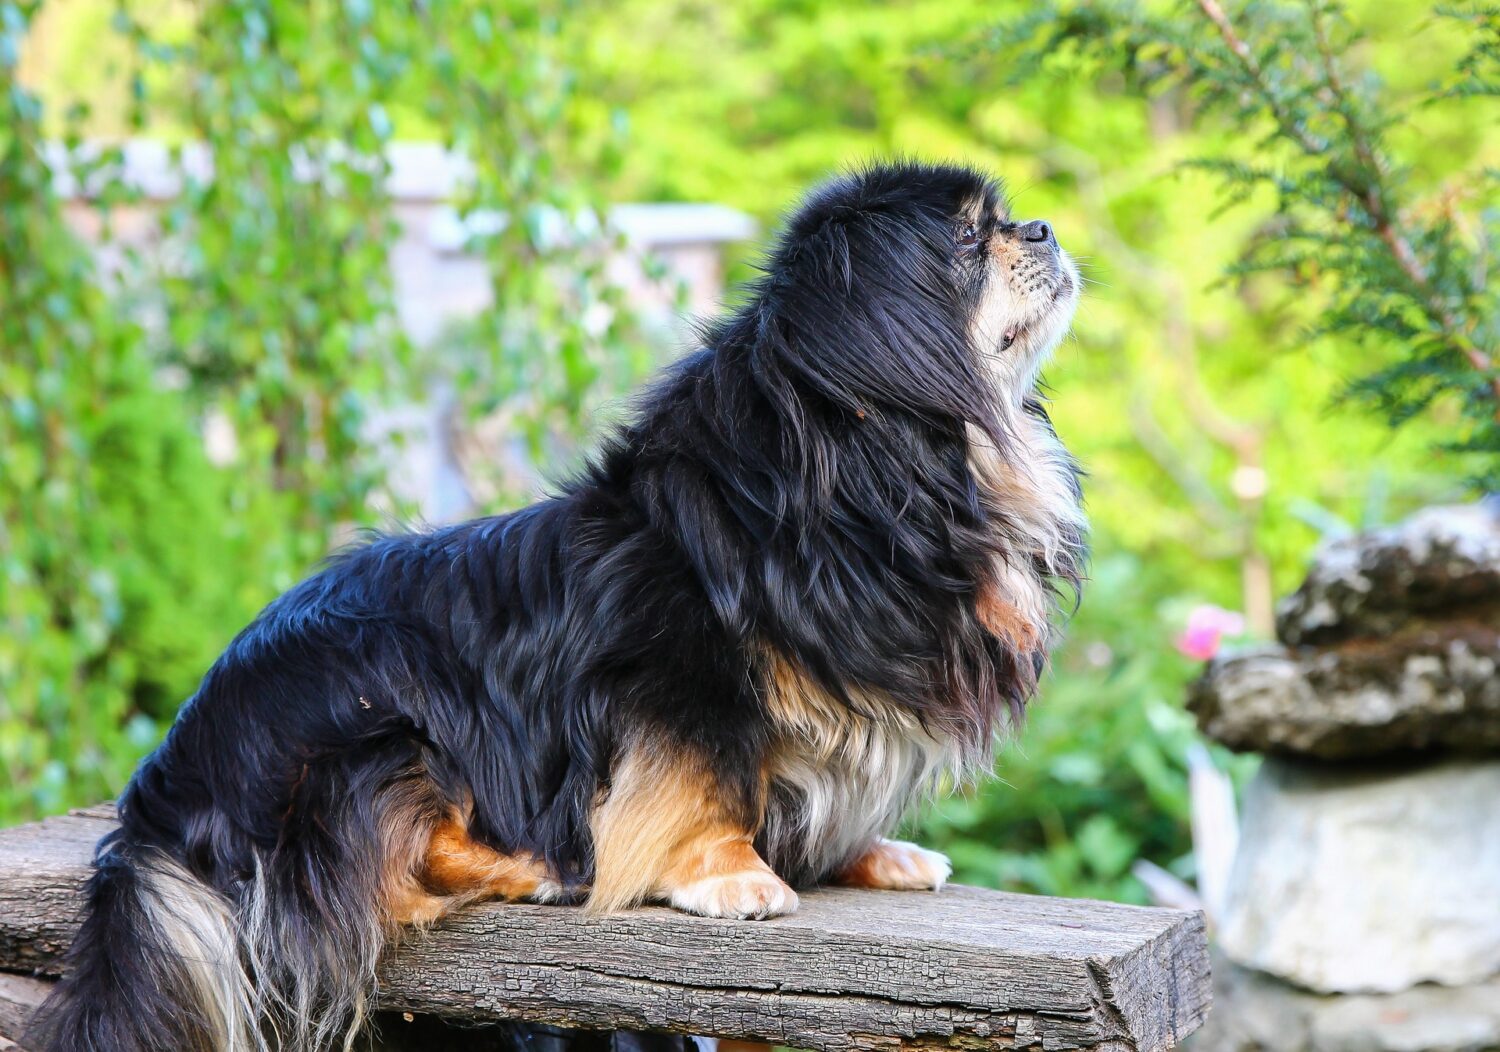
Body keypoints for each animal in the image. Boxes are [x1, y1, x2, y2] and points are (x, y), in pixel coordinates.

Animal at [29, 158, 1086, 1050]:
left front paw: (873, 854)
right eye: (968, 240)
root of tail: (164, 789)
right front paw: (733, 873)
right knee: (392, 864)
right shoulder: (673, 675)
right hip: (379, 719)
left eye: (1002, 221)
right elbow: (704, 781)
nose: (1041, 225)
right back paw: (532, 867)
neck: (879, 468)